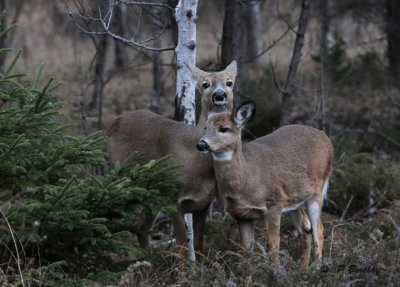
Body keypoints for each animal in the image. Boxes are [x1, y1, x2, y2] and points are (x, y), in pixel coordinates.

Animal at [105, 61, 238, 260]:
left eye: (229, 82)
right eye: (205, 84)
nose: (220, 95)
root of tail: (111, 125)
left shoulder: (202, 205)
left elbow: (199, 246)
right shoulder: (174, 199)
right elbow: (182, 246)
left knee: (140, 226)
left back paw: (147, 260)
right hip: (120, 178)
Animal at [198, 102, 334, 266]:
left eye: (224, 128)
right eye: (205, 127)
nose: (201, 144)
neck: (248, 178)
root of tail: (327, 139)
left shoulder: (274, 203)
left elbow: (273, 245)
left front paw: (275, 271)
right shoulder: (240, 214)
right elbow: (246, 250)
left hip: (316, 192)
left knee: (318, 230)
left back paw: (316, 268)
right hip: (294, 200)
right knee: (306, 227)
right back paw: (303, 269)